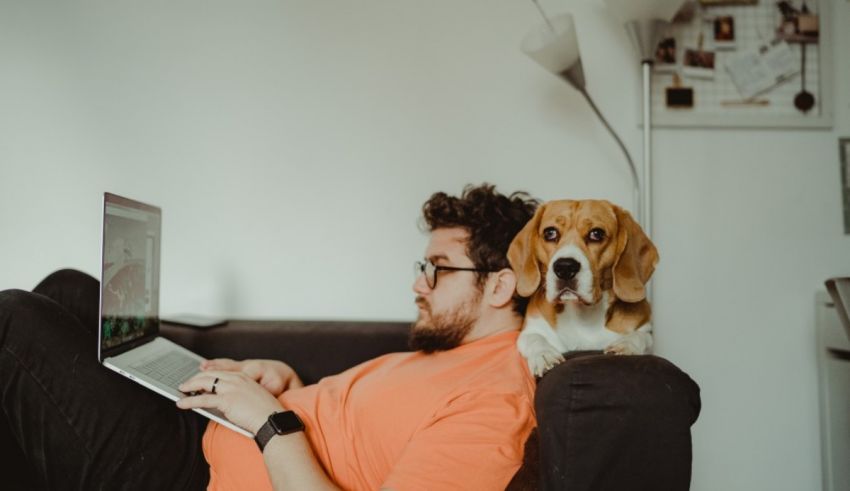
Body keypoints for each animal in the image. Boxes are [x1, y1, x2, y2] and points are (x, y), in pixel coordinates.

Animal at [506, 200, 660, 376]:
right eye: (550, 233)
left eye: (597, 234)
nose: (565, 267)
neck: (582, 316)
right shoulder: (532, 328)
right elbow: (533, 338)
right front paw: (544, 354)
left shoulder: (646, 329)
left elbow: (642, 337)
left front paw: (627, 345)